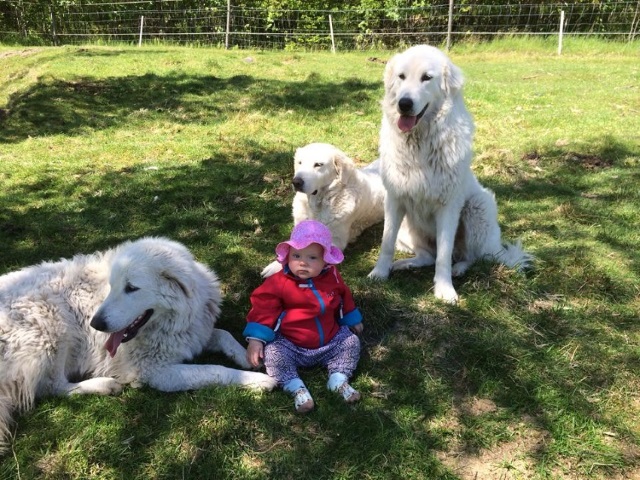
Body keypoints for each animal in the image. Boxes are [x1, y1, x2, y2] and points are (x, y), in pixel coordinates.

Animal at [0, 237, 276, 452]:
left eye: (131, 288)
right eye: (113, 287)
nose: (96, 323)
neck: (172, 321)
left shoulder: (196, 332)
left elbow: (222, 334)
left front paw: (248, 355)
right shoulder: (155, 372)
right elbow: (215, 370)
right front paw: (258, 380)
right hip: (53, 324)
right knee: (53, 387)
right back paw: (104, 385)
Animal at [262, 143, 406, 277]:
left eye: (318, 165)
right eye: (300, 162)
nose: (296, 182)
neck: (319, 204)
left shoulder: (336, 240)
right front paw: (274, 266)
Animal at [368, 45, 532, 303]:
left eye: (427, 78)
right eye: (401, 77)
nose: (404, 104)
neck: (420, 142)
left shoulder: (448, 207)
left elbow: (443, 256)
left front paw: (445, 290)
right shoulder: (394, 200)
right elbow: (386, 243)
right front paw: (380, 273)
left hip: (478, 208)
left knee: (472, 257)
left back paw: (458, 269)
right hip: (408, 229)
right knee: (427, 256)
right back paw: (405, 264)